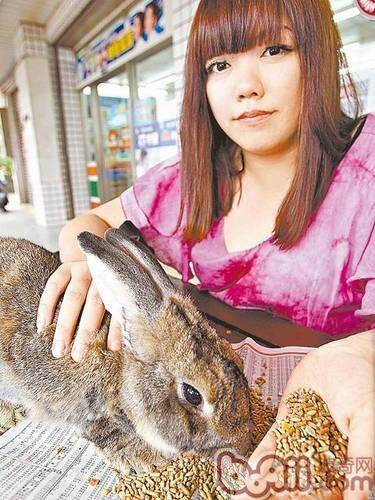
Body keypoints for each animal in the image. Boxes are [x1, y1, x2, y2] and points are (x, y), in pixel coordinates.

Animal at [0, 222, 254, 472]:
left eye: (241, 363)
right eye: (193, 395)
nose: (241, 445)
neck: (123, 373)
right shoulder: (92, 412)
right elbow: (108, 434)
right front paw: (143, 459)